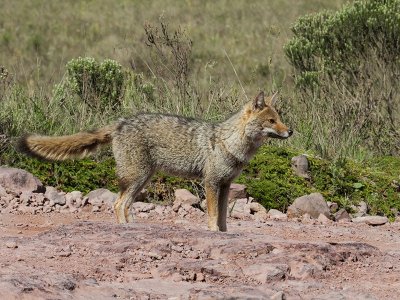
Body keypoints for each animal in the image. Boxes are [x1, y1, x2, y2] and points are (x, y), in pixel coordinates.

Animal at [17, 91, 292, 232]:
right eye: (271, 121)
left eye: (279, 119)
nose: (291, 131)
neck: (230, 143)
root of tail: (120, 122)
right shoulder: (211, 183)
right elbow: (213, 217)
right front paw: (213, 233)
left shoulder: (225, 186)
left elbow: (223, 218)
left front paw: (223, 234)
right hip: (137, 178)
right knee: (117, 204)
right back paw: (126, 230)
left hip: (142, 180)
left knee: (124, 205)